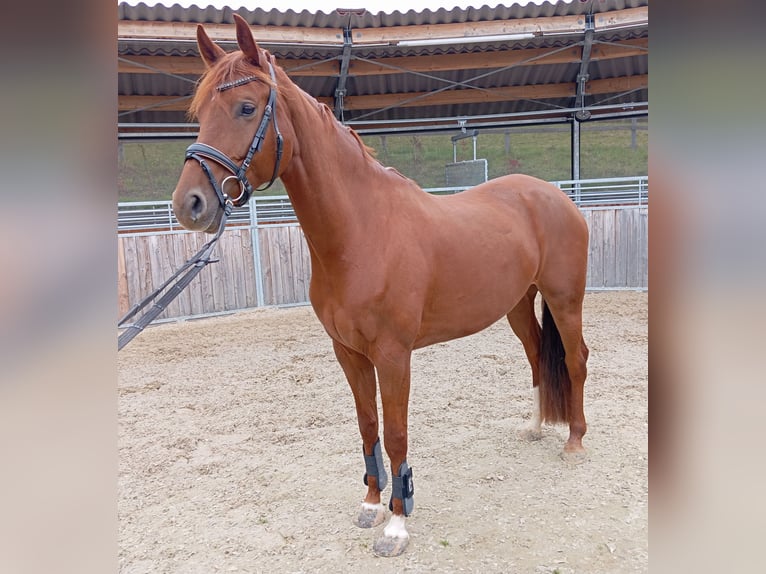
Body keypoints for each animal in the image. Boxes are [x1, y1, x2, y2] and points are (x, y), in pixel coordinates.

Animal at [174, 15, 592, 560]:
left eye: (246, 107)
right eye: (199, 112)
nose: (189, 205)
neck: (362, 232)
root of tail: (555, 197)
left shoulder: (393, 355)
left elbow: (395, 434)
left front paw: (397, 524)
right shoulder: (349, 353)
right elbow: (367, 426)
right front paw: (371, 504)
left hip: (565, 299)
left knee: (577, 359)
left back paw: (575, 442)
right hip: (518, 304)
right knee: (538, 353)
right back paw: (536, 426)